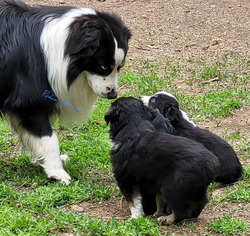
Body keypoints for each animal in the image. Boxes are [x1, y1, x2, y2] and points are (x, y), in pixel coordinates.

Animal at [0, 0, 132, 184]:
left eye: (120, 67)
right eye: (104, 67)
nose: (112, 94)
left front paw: (45, 161)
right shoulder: (28, 100)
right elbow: (49, 137)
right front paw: (57, 172)